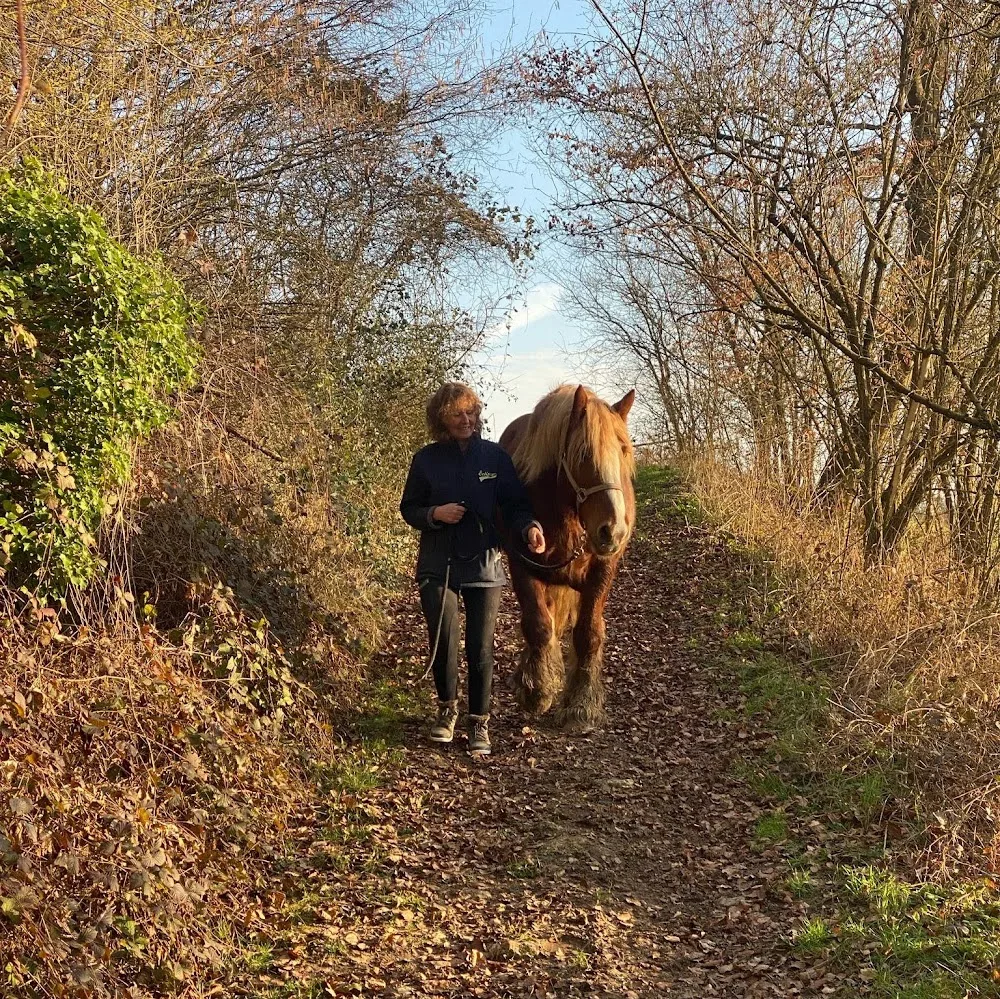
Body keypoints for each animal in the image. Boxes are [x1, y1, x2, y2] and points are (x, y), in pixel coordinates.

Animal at [499, 384, 636, 732]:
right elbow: (538, 625)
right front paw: (538, 691)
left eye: (624, 451)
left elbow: (588, 633)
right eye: (584, 454)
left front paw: (581, 705)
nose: (614, 530)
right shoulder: (523, 564)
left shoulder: (602, 570)